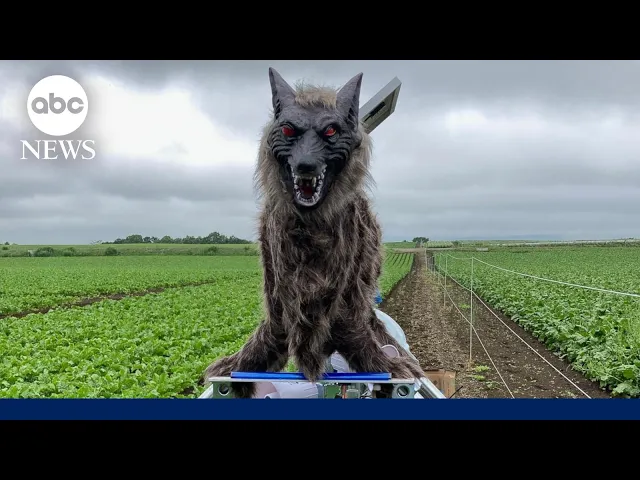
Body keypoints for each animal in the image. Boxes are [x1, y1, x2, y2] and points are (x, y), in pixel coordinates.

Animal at [202, 68, 425, 398]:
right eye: (288, 131)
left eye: (331, 131)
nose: (306, 164)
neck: (309, 226)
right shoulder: (278, 291)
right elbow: (268, 336)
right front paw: (238, 364)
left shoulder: (346, 292)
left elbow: (356, 330)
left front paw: (387, 364)